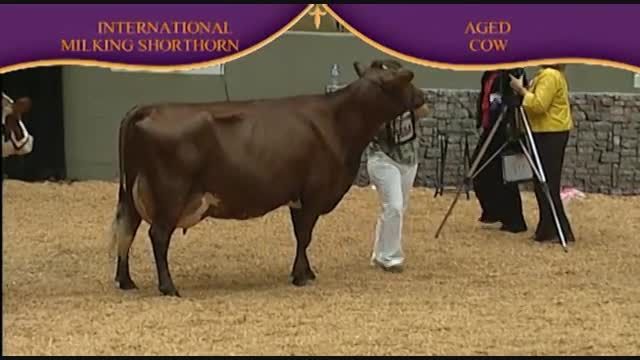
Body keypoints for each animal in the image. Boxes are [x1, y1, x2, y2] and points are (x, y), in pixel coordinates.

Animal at [109, 59, 430, 296]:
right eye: (405, 80)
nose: (424, 96)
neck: (337, 121)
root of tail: (147, 107)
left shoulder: (297, 197)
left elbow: (301, 236)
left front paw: (306, 271)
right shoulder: (313, 194)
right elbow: (305, 235)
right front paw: (301, 276)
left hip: (134, 193)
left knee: (128, 229)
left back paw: (126, 282)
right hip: (170, 192)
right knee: (158, 235)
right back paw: (168, 287)